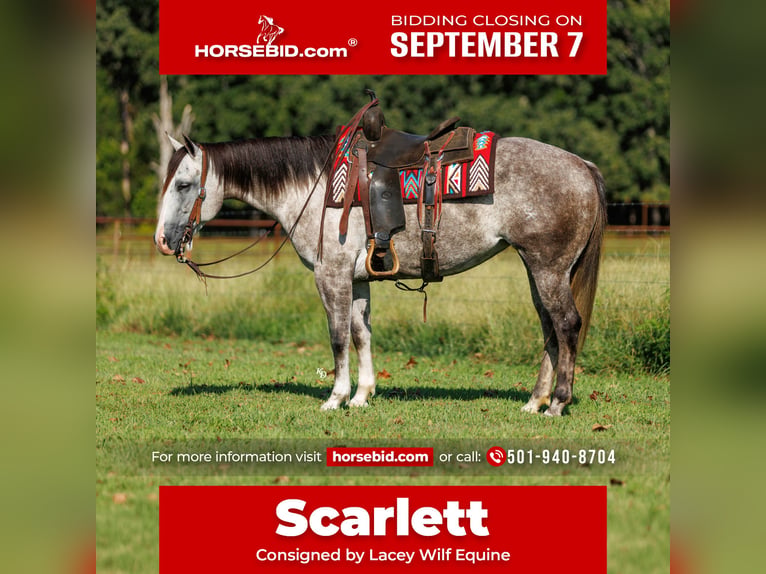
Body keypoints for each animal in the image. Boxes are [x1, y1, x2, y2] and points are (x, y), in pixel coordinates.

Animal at [154, 129, 606, 416]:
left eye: (182, 184)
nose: (162, 240)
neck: (315, 189)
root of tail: (581, 165)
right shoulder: (357, 280)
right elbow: (361, 335)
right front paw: (361, 395)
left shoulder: (331, 275)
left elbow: (338, 337)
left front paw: (335, 398)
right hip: (537, 270)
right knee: (549, 329)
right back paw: (534, 401)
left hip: (548, 269)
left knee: (567, 325)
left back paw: (558, 402)